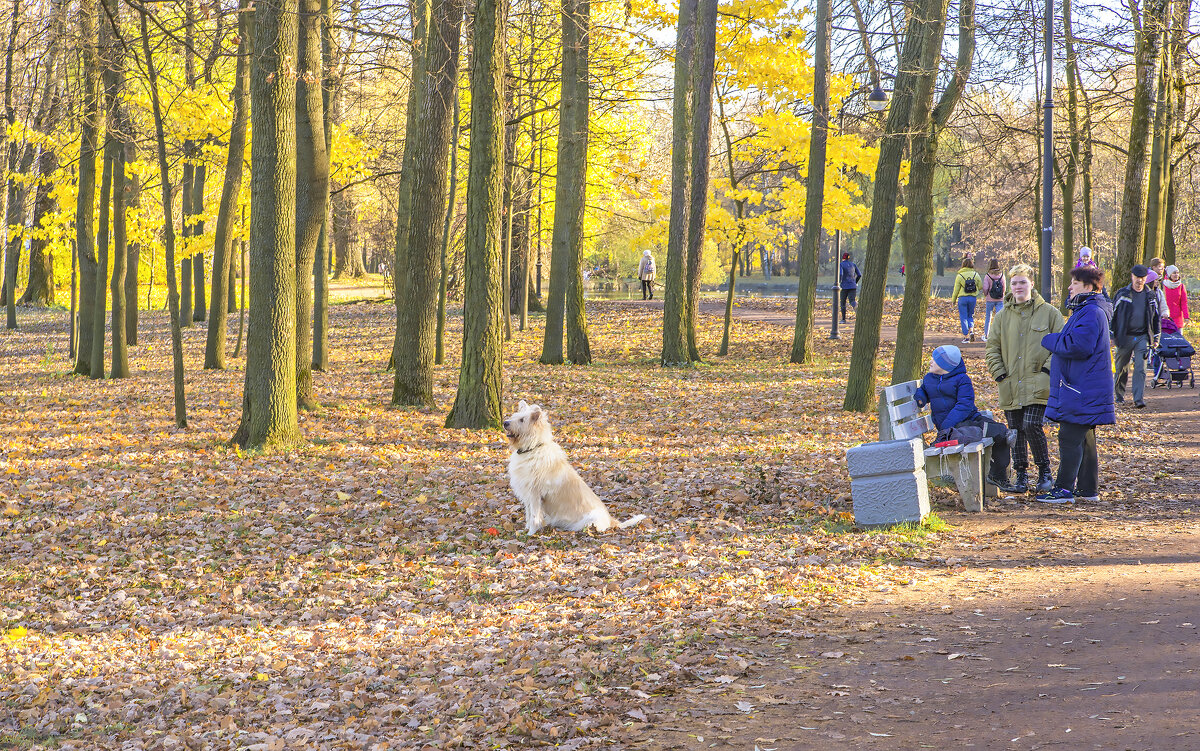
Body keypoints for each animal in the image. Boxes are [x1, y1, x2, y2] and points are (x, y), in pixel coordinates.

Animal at [504, 398, 648, 532]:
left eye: (522, 420)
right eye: (514, 416)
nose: (505, 423)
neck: (533, 448)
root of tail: (611, 521)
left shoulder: (534, 495)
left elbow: (534, 517)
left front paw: (531, 533)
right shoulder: (528, 495)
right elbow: (528, 515)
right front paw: (526, 529)